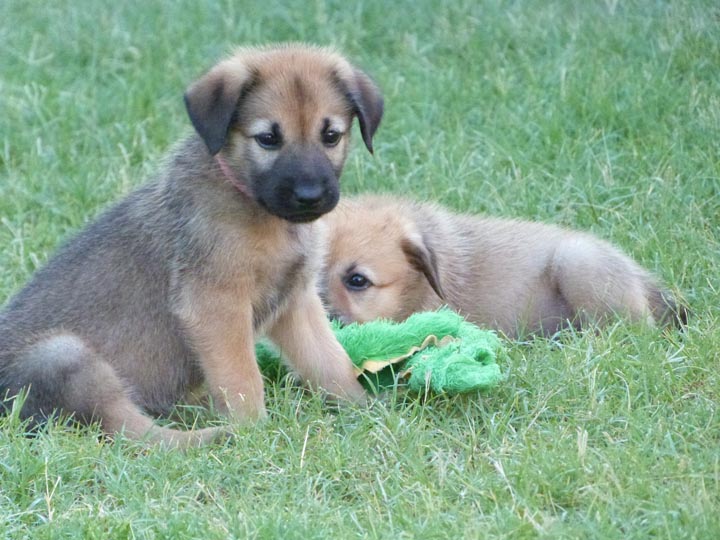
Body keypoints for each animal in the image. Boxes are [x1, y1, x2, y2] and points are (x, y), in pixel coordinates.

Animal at [0, 43, 386, 448]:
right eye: (267, 138)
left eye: (331, 135)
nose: (310, 197)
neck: (247, 197)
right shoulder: (215, 304)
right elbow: (243, 378)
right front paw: (255, 432)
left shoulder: (296, 300)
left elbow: (329, 361)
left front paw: (364, 409)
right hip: (64, 356)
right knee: (132, 430)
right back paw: (214, 435)